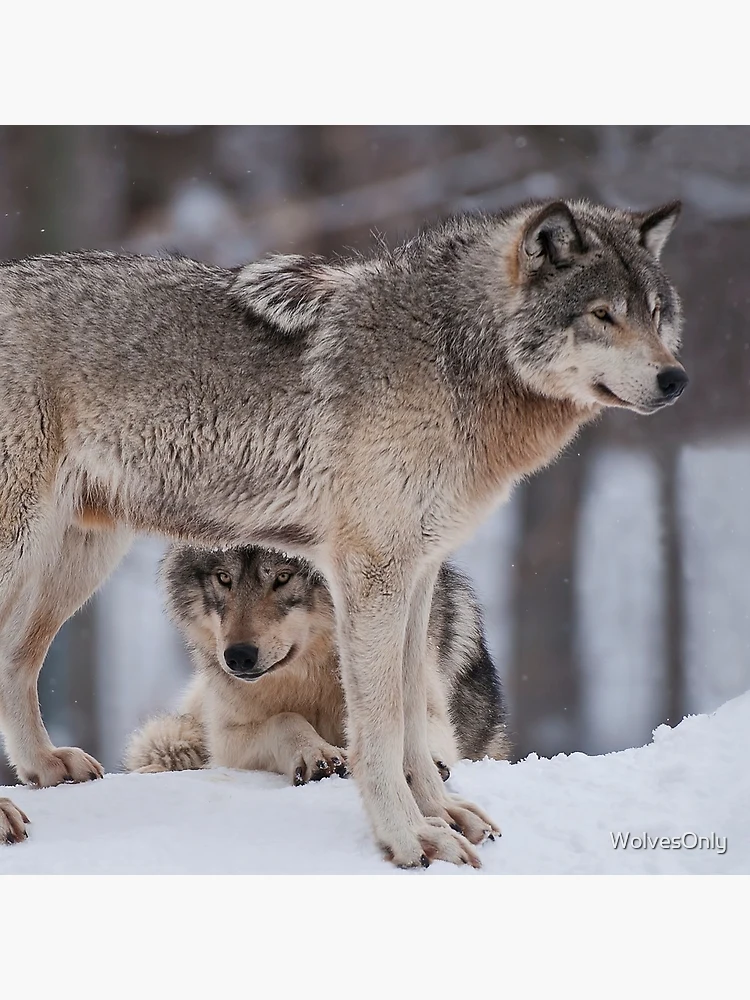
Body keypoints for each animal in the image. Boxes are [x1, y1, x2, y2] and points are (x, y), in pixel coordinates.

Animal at [123, 546, 509, 789]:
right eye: (223, 578)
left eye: (283, 577)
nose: (239, 657)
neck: (313, 675)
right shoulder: (226, 738)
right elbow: (285, 719)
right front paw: (316, 753)